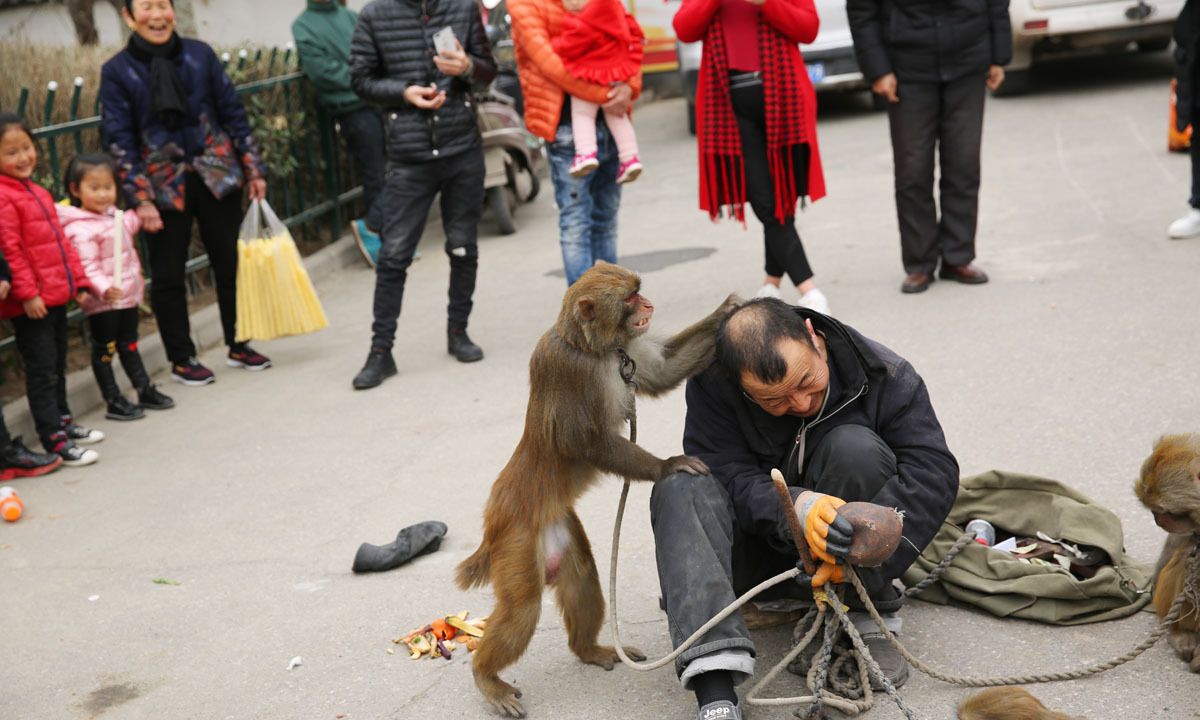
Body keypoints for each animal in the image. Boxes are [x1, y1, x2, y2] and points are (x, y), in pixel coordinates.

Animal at [458, 261, 739, 715]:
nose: (648, 304)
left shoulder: (628, 352)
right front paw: (667, 465)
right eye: (629, 299)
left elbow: (663, 369)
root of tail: (494, 523)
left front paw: (727, 310)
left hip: (559, 527)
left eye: (638, 291)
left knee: (582, 578)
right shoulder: (569, 368)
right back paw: (486, 677)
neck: (595, 350)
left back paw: (588, 649)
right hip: (516, 541)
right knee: (522, 609)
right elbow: (586, 442)